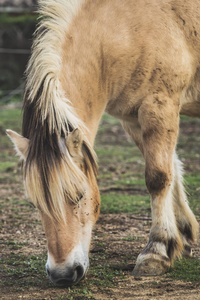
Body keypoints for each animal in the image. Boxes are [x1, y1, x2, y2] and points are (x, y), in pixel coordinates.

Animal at [6, 0, 200, 286]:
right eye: (34, 203)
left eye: (79, 195)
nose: (62, 274)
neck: (124, 27)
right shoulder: (132, 120)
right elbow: (172, 171)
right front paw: (182, 238)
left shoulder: (159, 106)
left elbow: (158, 177)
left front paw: (157, 251)